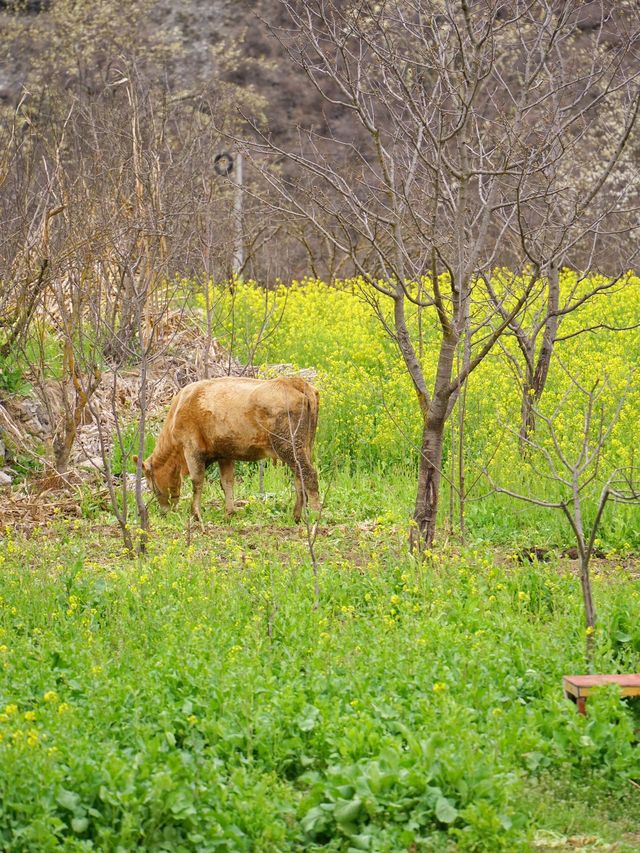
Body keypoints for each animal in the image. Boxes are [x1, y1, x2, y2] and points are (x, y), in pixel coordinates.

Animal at [137, 374, 322, 524]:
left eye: (151, 486)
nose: (163, 512)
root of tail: (293, 382)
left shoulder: (191, 449)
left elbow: (197, 482)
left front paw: (195, 514)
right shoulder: (224, 454)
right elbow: (227, 482)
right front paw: (229, 514)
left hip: (288, 446)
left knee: (309, 475)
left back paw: (315, 516)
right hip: (304, 447)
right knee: (299, 478)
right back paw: (296, 516)